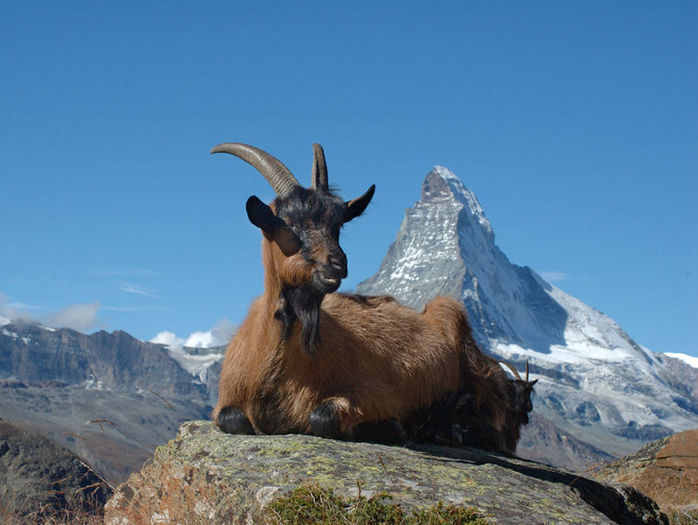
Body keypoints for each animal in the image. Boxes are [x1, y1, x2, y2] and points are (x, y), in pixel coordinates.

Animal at [209, 142, 532, 450]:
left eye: (338, 225)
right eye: (287, 222)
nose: (337, 264)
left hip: (463, 337)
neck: (274, 366)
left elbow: (322, 417)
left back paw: (451, 427)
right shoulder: (227, 402)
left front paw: (390, 428)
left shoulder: (378, 394)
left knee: (501, 424)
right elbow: (230, 418)